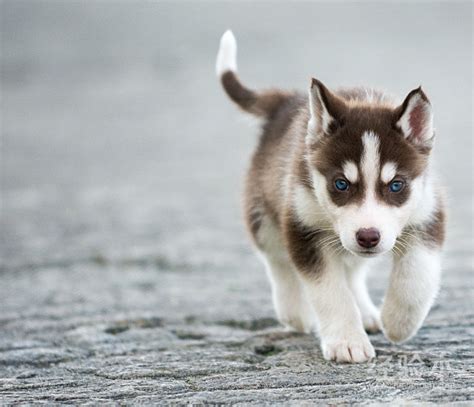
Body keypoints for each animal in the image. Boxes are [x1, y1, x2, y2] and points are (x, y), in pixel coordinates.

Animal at [215, 30, 444, 364]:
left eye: (396, 185)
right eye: (340, 184)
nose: (368, 236)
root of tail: (287, 101)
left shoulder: (427, 214)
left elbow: (416, 275)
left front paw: (398, 321)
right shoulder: (303, 225)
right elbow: (330, 292)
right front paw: (347, 342)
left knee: (352, 270)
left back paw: (368, 313)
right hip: (263, 210)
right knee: (277, 259)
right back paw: (295, 311)